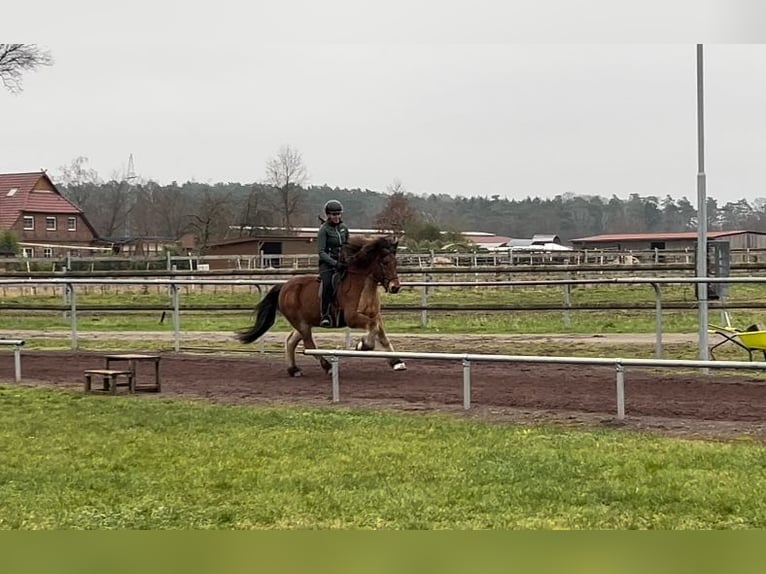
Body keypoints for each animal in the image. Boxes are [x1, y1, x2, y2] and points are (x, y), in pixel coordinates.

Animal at [237, 235, 408, 378]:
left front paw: (397, 362)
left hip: (305, 323)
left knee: (291, 341)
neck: (363, 286)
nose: (395, 287)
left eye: (396, 263)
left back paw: (294, 370)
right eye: (384, 263)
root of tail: (284, 286)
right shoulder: (352, 318)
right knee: (308, 344)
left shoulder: (375, 316)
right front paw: (363, 345)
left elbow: (381, 334)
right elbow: (372, 328)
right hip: (301, 323)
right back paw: (328, 367)